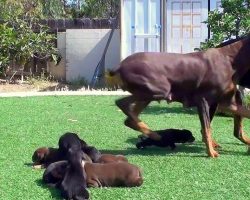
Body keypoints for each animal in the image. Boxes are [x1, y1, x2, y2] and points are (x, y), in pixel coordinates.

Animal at [109, 35, 250, 158]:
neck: (229, 59)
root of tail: (120, 66)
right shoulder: (203, 100)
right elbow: (207, 129)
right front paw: (211, 153)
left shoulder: (228, 104)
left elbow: (245, 112)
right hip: (159, 90)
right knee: (121, 102)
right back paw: (155, 135)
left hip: (150, 93)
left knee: (129, 118)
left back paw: (154, 135)